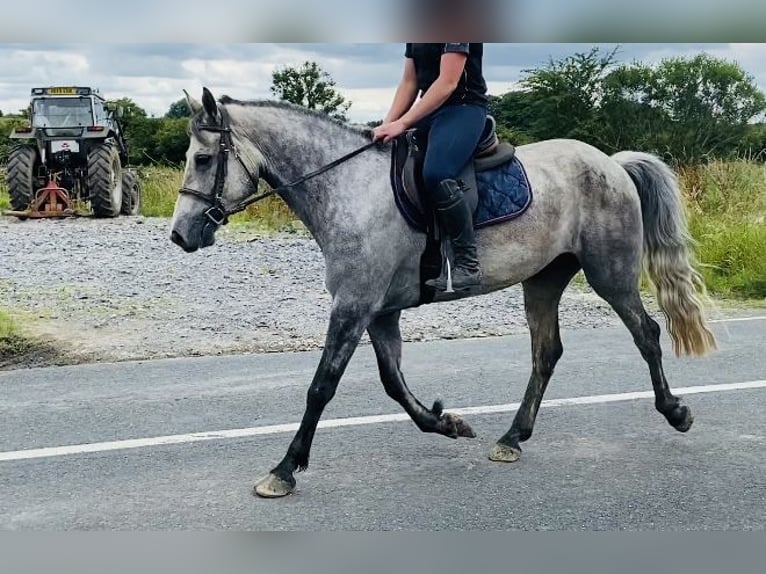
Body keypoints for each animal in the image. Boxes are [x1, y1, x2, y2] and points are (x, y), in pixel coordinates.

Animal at [170, 89, 720, 500]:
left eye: (203, 158)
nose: (180, 235)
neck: (349, 189)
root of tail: (612, 163)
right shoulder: (379, 312)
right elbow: (393, 383)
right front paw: (447, 423)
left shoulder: (353, 306)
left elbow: (321, 386)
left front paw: (284, 469)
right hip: (543, 280)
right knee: (546, 353)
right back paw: (511, 438)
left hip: (611, 275)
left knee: (646, 334)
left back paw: (676, 412)